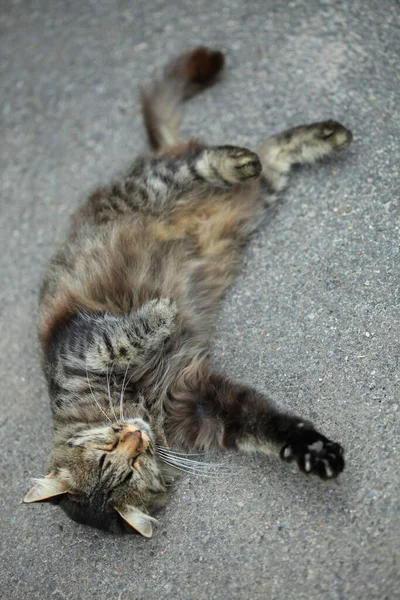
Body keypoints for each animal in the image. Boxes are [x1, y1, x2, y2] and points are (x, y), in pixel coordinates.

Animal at [23, 45, 352, 536]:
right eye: (128, 464)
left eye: (115, 457)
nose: (135, 435)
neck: (146, 404)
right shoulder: (204, 402)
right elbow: (273, 428)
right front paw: (313, 453)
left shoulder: (77, 346)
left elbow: (118, 338)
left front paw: (161, 313)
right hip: (254, 198)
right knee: (272, 153)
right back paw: (321, 137)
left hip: (159, 185)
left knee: (214, 158)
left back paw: (256, 154)